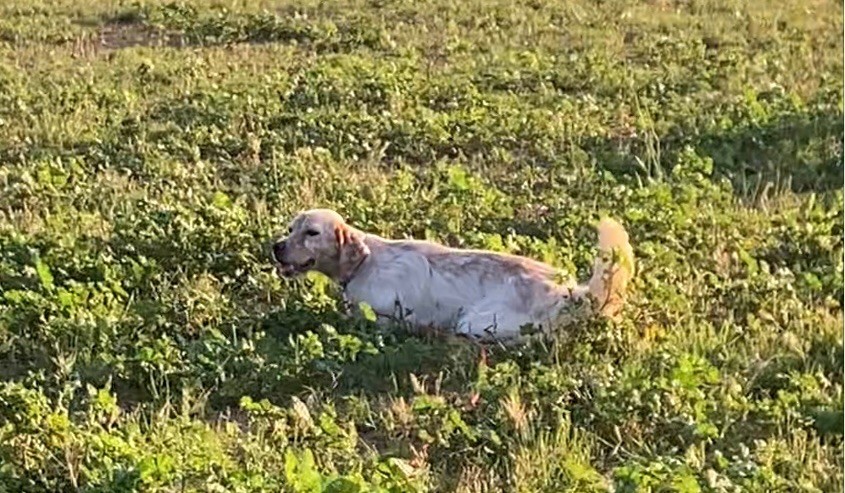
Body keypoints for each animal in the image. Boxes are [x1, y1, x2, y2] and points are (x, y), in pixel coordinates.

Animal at [270, 206, 632, 340]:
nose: (276, 247)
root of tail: (570, 292)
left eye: (312, 233)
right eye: (290, 229)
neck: (365, 263)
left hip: (474, 321)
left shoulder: (385, 319)